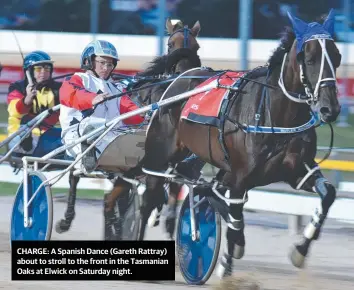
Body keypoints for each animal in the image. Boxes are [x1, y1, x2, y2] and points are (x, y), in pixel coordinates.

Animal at [134, 9, 342, 276]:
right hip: (160, 155)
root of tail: (181, 77)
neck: (276, 114)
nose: (330, 109)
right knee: (149, 197)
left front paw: (300, 249)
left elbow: (328, 195)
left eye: (337, 57)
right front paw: (226, 260)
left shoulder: (297, 170)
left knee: (204, 189)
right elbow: (234, 216)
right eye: (310, 58)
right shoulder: (242, 176)